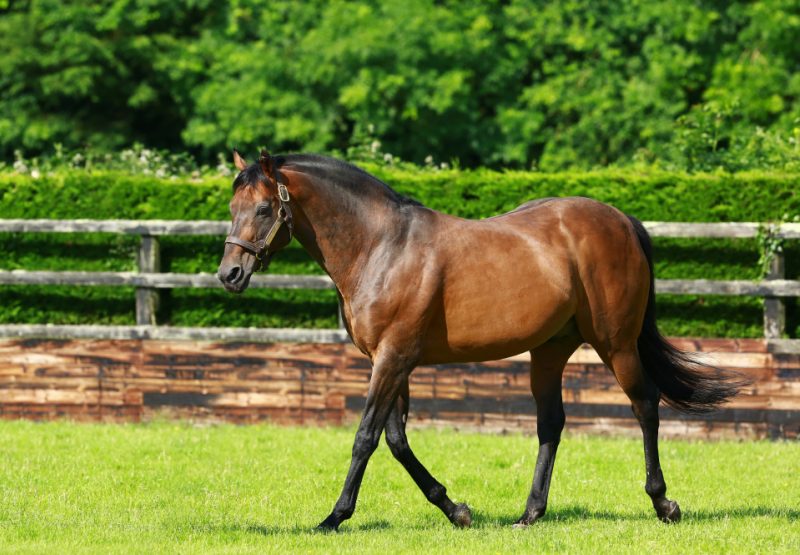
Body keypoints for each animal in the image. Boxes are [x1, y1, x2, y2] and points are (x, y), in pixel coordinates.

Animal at [217, 150, 744, 532]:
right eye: (231, 208)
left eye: (263, 208)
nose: (229, 274)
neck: (382, 247)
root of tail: (621, 220)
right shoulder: (393, 362)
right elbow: (397, 441)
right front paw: (456, 510)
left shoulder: (392, 359)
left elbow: (366, 437)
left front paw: (334, 517)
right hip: (549, 350)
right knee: (552, 423)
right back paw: (530, 514)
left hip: (616, 344)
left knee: (645, 406)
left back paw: (664, 504)